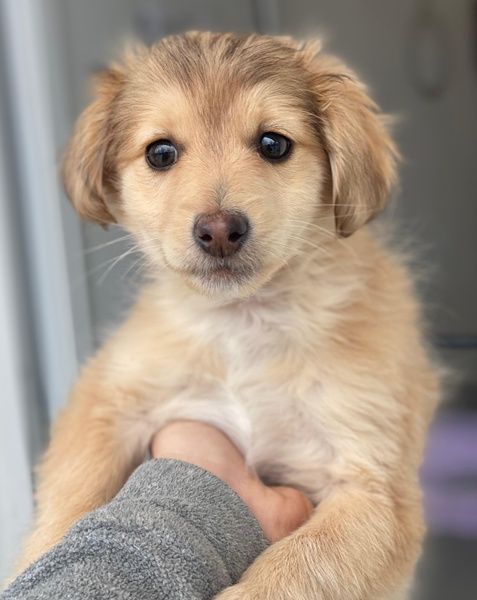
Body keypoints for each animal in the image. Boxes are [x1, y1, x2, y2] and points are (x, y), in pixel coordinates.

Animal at [15, 32, 439, 599]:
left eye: (274, 144)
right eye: (161, 152)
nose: (218, 230)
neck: (245, 323)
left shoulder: (374, 487)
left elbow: (302, 565)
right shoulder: (106, 397)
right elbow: (73, 489)